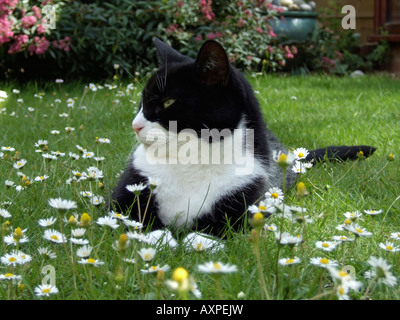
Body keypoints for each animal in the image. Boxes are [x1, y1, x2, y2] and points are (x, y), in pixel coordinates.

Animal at [110, 38, 376, 238]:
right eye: (141, 103)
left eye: (168, 102)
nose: (135, 125)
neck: (189, 161)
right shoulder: (129, 191)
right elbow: (128, 219)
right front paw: (159, 239)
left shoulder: (247, 195)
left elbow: (213, 230)